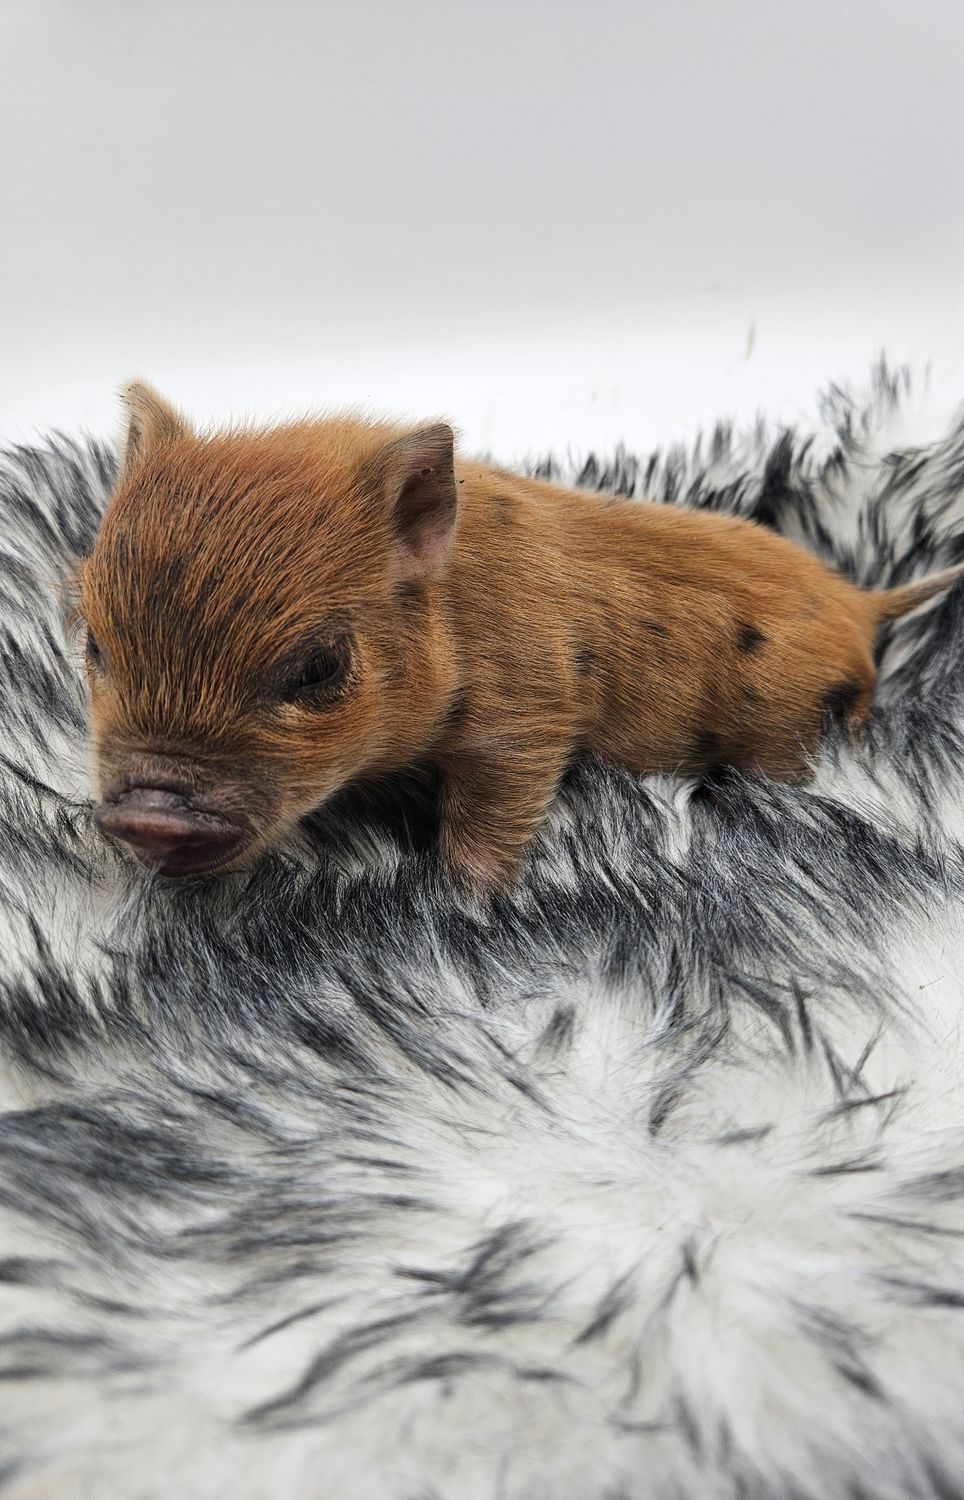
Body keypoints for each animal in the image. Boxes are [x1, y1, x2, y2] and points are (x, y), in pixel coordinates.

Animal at [78, 381, 964, 888]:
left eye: (318, 667)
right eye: (92, 645)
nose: (151, 813)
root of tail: (861, 604)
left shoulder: (531, 716)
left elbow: (491, 815)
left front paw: (467, 899)